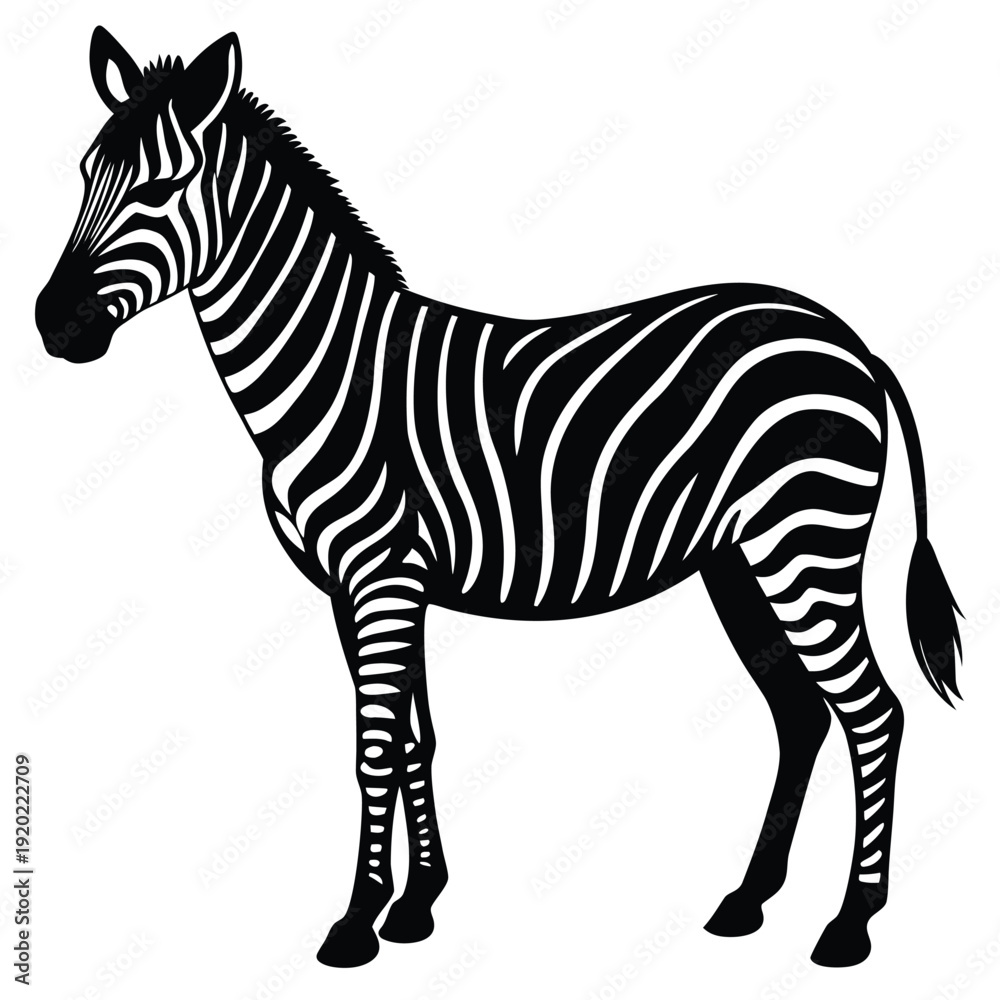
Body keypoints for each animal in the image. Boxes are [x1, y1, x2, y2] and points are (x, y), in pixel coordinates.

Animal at [35, 27, 963, 969]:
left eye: (158, 189)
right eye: (83, 173)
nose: (52, 326)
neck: (332, 371)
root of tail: (844, 337)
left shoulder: (382, 575)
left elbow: (375, 747)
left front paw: (356, 923)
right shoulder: (360, 587)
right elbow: (415, 738)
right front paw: (416, 904)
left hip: (804, 541)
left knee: (873, 712)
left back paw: (849, 924)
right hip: (738, 560)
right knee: (802, 715)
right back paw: (748, 901)